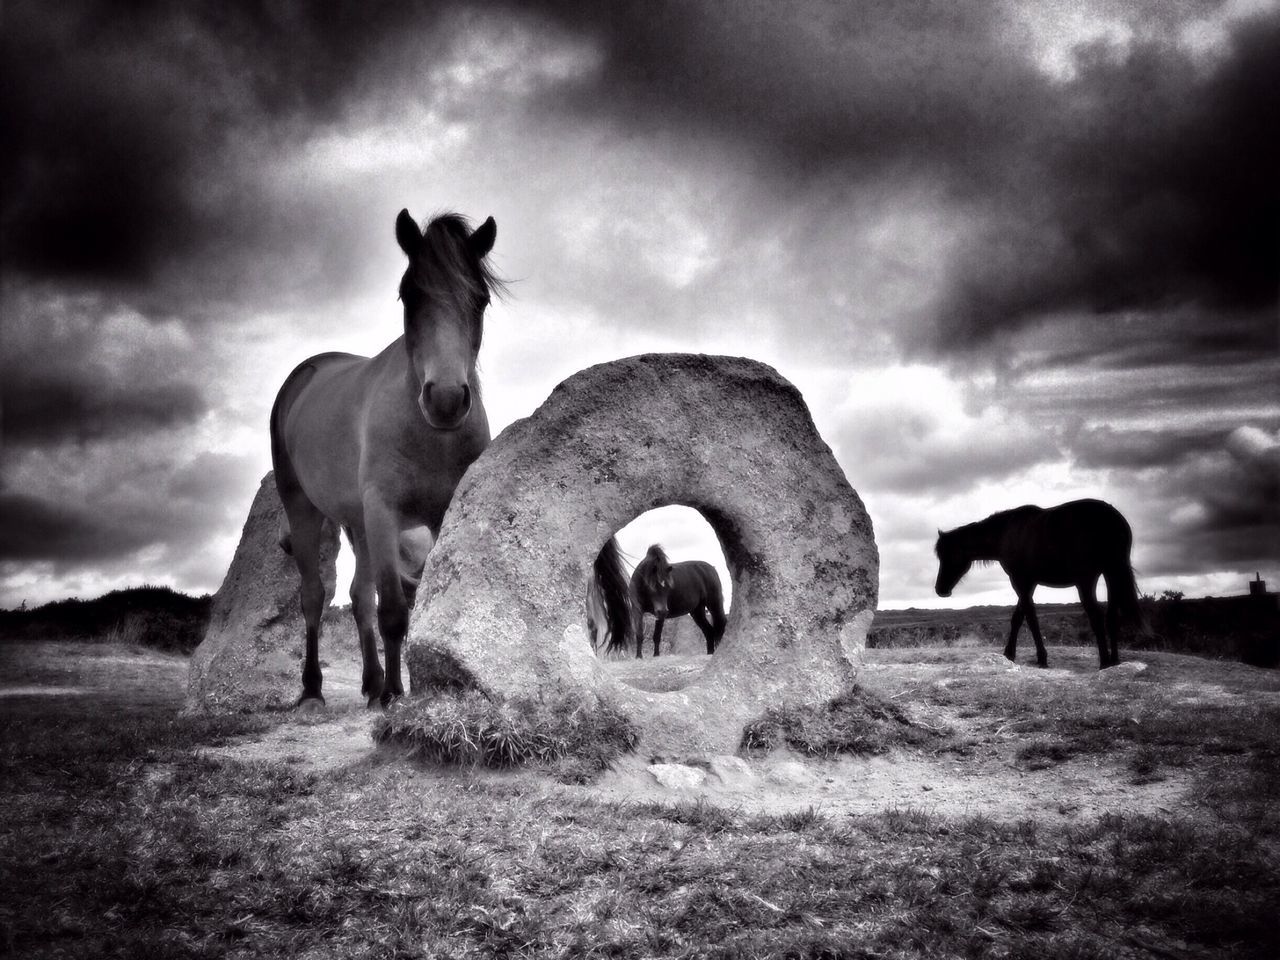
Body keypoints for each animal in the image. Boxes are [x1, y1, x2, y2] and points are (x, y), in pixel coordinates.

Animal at [271, 209, 499, 706]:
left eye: (481, 299)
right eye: (409, 294)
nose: (446, 398)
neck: (432, 435)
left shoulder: (437, 516)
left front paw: (404, 685)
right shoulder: (383, 513)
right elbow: (393, 610)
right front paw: (396, 693)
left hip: (356, 523)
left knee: (359, 596)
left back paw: (371, 681)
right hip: (305, 508)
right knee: (315, 596)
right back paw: (314, 688)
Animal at [931, 504, 1141, 670]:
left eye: (948, 555)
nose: (940, 589)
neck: (1006, 533)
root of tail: (1113, 518)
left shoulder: (1019, 581)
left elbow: (1029, 618)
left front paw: (1038, 658)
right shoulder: (1028, 583)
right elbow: (1019, 617)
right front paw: (1011, 654)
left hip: (1087, 580)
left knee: (1096, 616)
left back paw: (1104, 662)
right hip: (1111, 574)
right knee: (1111, 617)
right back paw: (1114, 661)